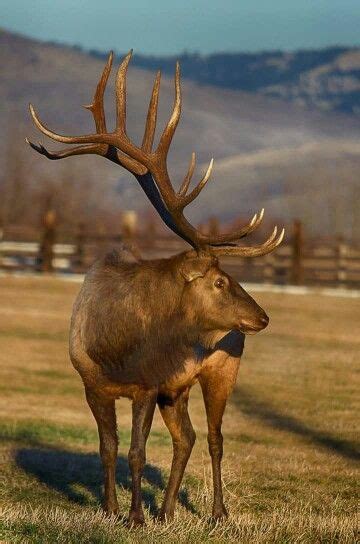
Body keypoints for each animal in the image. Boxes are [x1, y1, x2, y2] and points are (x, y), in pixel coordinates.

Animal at [27, 50, 284, 524]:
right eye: (220, 280)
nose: (262, 317)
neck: (115, 347)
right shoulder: (93, 384)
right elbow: (108, 448)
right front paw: (112, 510)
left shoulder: (146, 385)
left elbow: (137, 452)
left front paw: (134, 518)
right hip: (175, 390)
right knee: (188, 438)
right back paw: (166, 512)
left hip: (222, 370)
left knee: (215, 437)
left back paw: (217, 513)